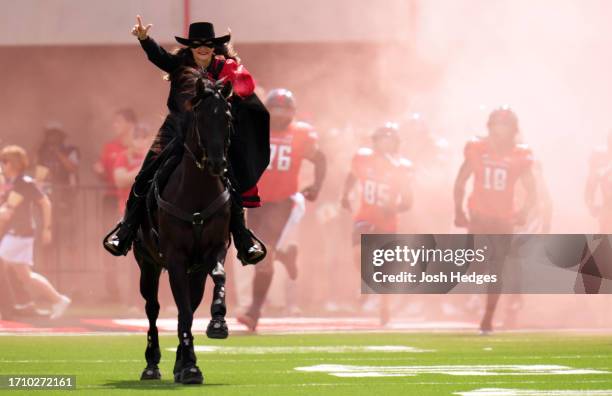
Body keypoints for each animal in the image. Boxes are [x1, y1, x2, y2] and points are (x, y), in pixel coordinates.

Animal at [131, 68, 232, 384]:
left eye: (227, 117)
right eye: (201, 117)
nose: (217, 163)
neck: (196, 192)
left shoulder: (213, 251)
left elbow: (218, 277)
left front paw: (218, 322)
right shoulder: (174, 258)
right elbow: (183, 312)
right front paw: (190, 367)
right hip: (148, 264)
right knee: (153, 308)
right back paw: (152, 364)